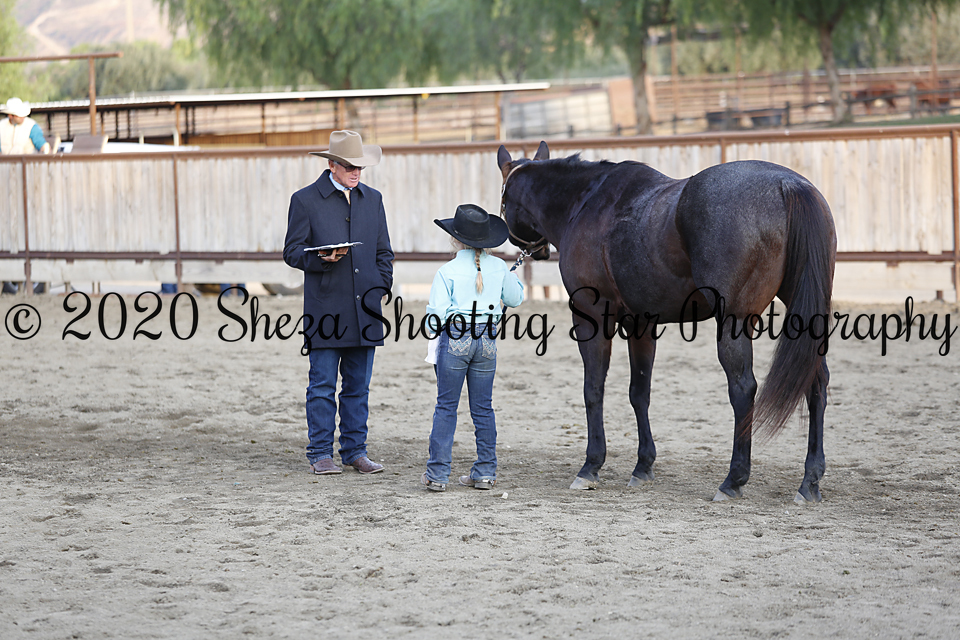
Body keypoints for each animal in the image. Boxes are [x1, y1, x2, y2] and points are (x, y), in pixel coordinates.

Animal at [497, 142, 836, 503]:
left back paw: (733, 480)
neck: (586, 202)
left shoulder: (592, 316)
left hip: (734, 322)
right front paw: (643, 465)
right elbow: (639, 392)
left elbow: (593, 389)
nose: (536, 250)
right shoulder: (641, 324)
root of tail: (788, 186)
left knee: (743, 388)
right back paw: (809, 481)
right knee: (815, 382)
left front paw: (591, 466)